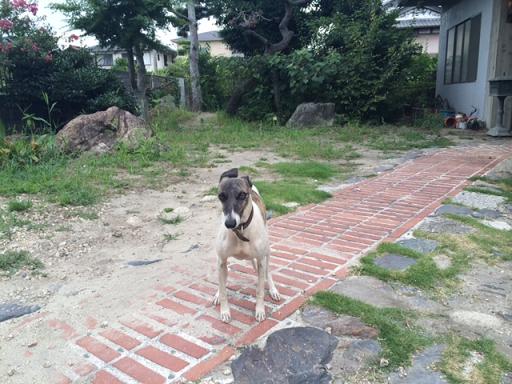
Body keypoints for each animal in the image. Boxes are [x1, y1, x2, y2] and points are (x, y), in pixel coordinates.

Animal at [214, 168, 282, 320]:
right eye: (221, 196)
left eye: (242, 195)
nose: (229, 223)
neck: (240, 231)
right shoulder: (222, 261)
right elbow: (223, 289)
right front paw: (225, 311)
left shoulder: (261, 261)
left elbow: (260, 291)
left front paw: (260, 310)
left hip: (266, 253)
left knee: (268, 272)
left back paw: (273, 289)